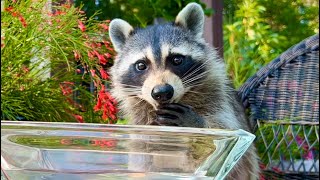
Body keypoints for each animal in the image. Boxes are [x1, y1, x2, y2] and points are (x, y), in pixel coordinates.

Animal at [109, 2, 258, 179]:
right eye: (141, 65)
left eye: (177, 60)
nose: (162, 92)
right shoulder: (141, 125)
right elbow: (142, 153)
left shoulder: (220, 101)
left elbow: (223, 133)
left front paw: (197, 123)